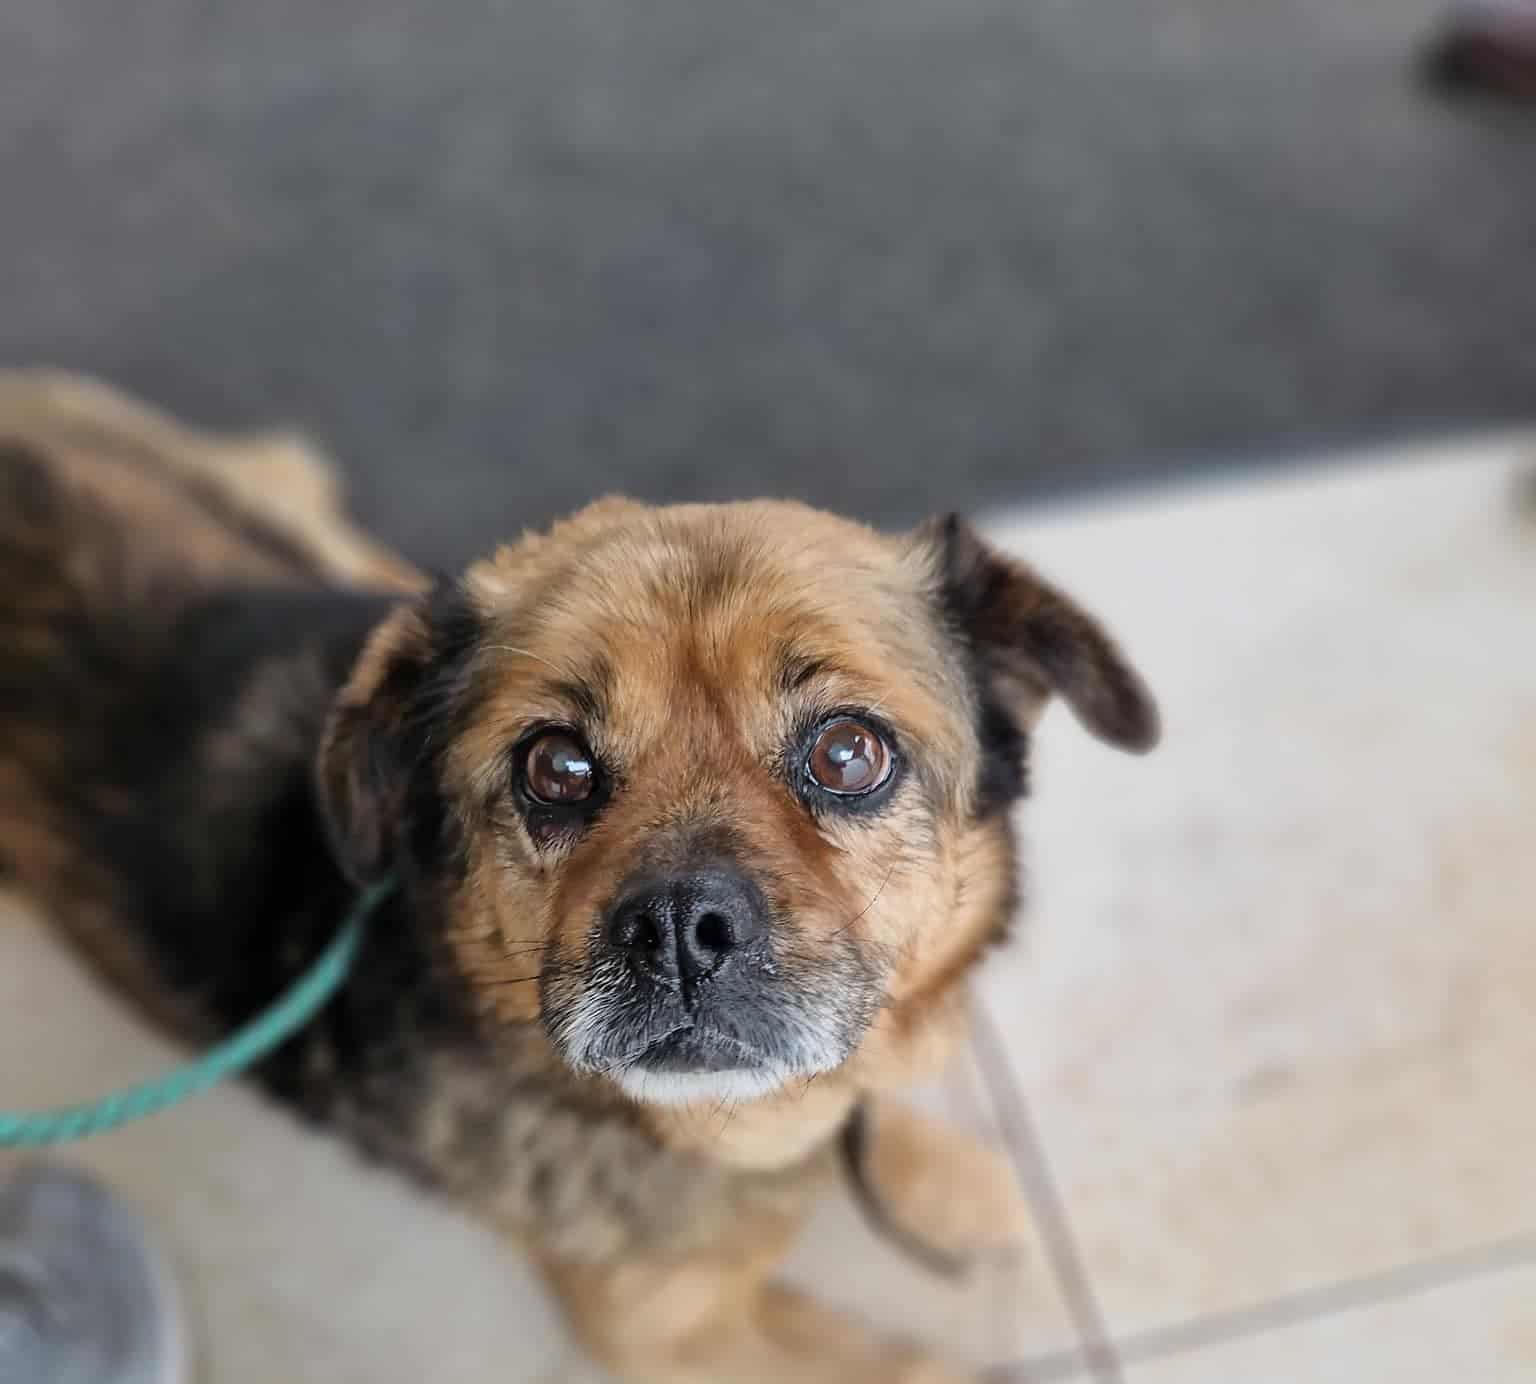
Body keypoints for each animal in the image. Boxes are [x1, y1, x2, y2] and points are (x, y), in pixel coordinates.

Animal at [0, 372, 1158, 1383]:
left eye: (846, 753)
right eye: (553, 767)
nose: (680, 927)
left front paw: (945, 1176)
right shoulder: (672, 1340)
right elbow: (914, 1368)